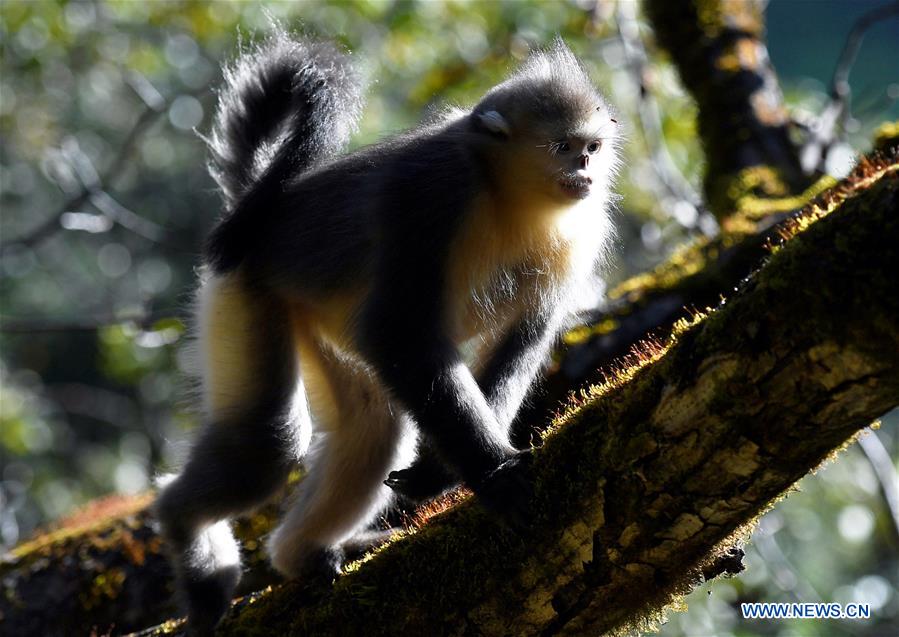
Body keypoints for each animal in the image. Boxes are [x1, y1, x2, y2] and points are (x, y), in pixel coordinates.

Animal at [154, 27, 619, 634]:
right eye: (564, 147)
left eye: (592, 148)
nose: (585, 172)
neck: (508, 196)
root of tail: (263, 210)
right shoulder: (432, 193)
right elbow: (396, 332)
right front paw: (493, 472)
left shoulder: (579, 235)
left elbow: (521, 340)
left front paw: (439, 477)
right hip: (243, 293)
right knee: (270, 441)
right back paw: (187, 537)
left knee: (373, 426)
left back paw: (299, 555)